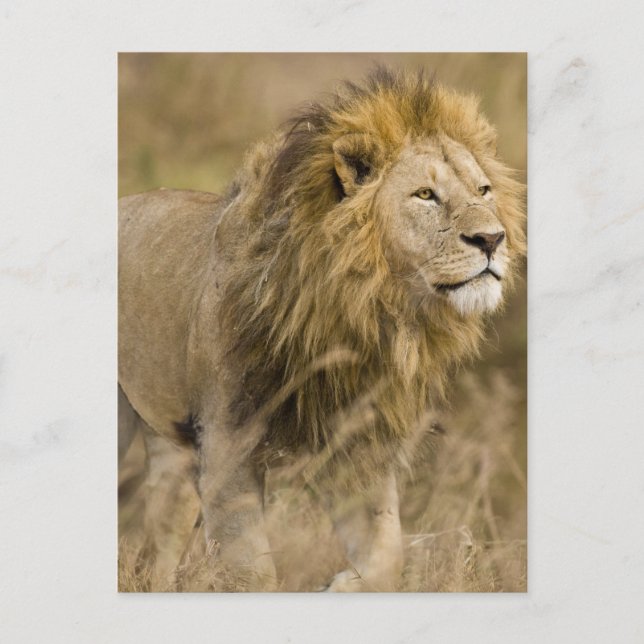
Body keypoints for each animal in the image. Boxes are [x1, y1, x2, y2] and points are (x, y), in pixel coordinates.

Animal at [118, 67, 526, 592]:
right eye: (425, 195)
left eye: (484, 191)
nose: (492, 239)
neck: (364, 311)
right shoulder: (228, 443)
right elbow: (252, 573)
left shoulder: (359, 443)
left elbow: (387, 554)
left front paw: (342, 585)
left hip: (171, 446)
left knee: (161, 543)